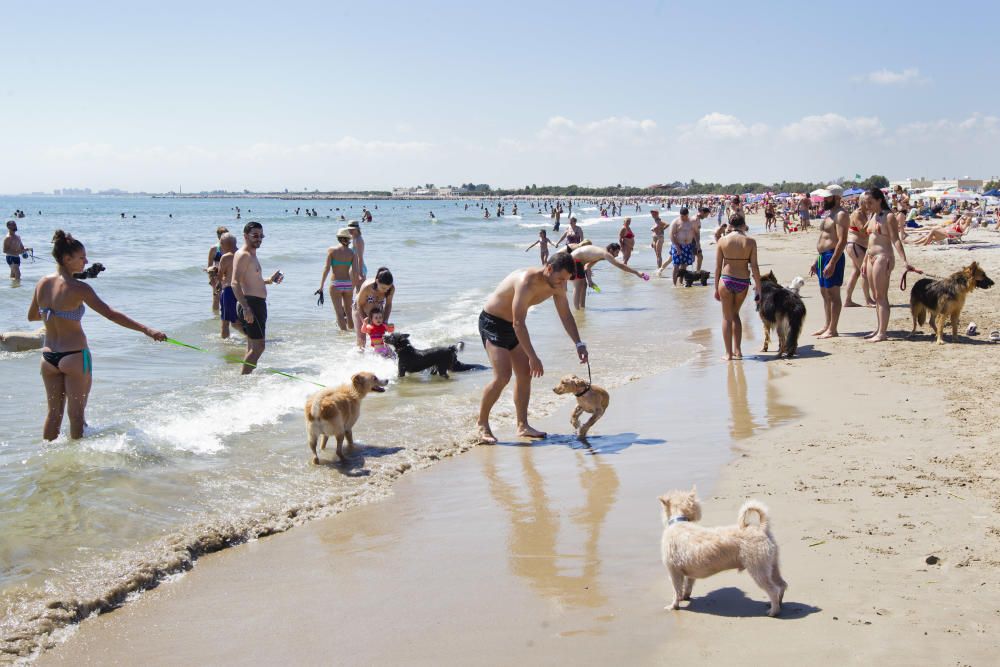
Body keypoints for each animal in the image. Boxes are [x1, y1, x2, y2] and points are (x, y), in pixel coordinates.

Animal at [656, 488, 788, 620]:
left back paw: (773, 611)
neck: (679, 522)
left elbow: (676, 591)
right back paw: (779, 603)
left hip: (758, 570)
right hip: (772, 566)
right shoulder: (688, 574)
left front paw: (673, 606)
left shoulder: (674, 571)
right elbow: (687, 586)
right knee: (782, 585)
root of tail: (761, 529)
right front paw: (685, 597)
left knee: (773, 590)